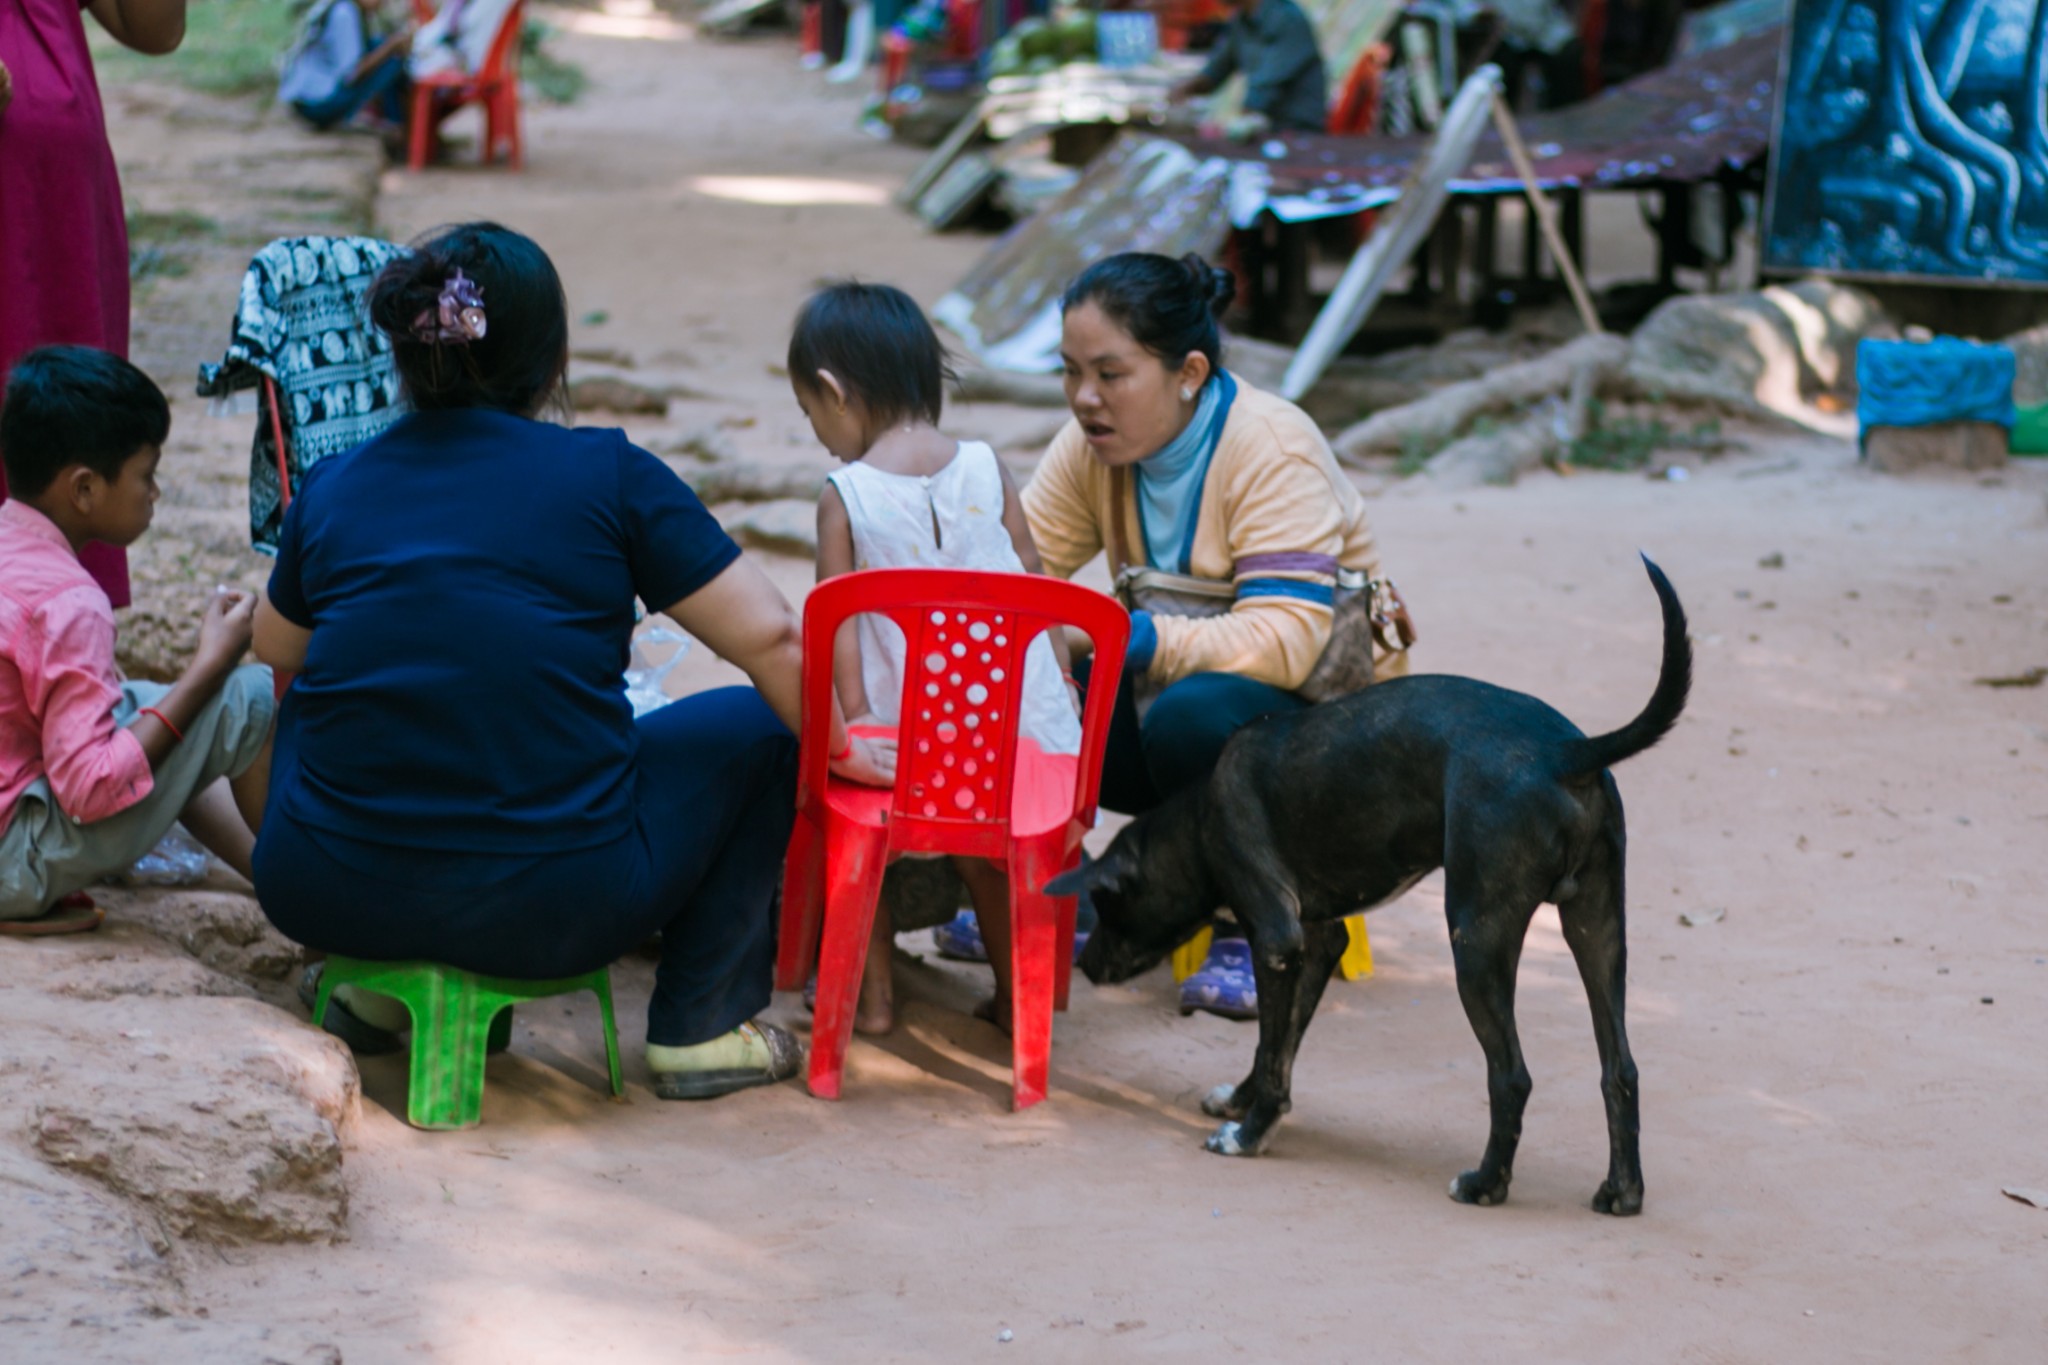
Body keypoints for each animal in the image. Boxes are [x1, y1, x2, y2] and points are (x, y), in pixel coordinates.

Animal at [1048, 556, 1687, 1219]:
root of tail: (1566, 749)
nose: (1087, 965)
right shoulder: (1317, 942)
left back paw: (1486, 1183)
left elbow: (1274, 1054)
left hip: (1478, 939)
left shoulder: (1274, 941)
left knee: (1511, 1075)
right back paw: (1622, 1189)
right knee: (1621, 1068)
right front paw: (1244, 1103)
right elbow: (1276, 1045)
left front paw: (1249, 1134)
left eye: (1106, 904)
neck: (1199, 818)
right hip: (1597, 927)